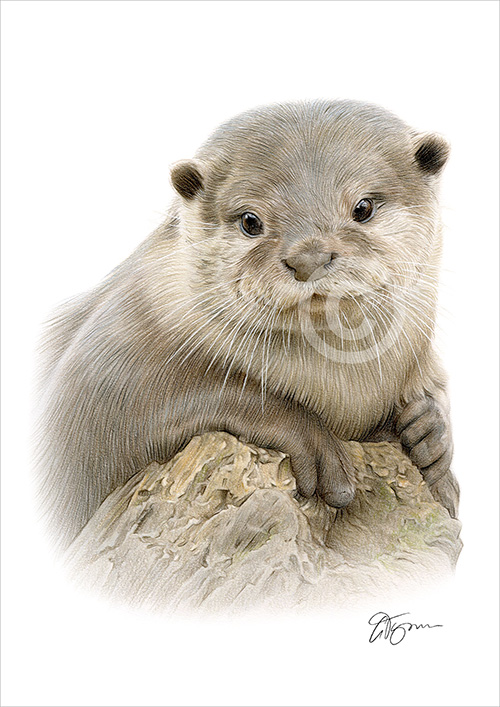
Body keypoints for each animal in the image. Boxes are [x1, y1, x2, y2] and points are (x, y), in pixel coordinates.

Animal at [36, 99, 459, 550]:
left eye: (363, 208)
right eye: (251, 221)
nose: (308, 257)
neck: (346, 389)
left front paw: (431, 437)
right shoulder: (101, 367)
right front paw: (314, 440)